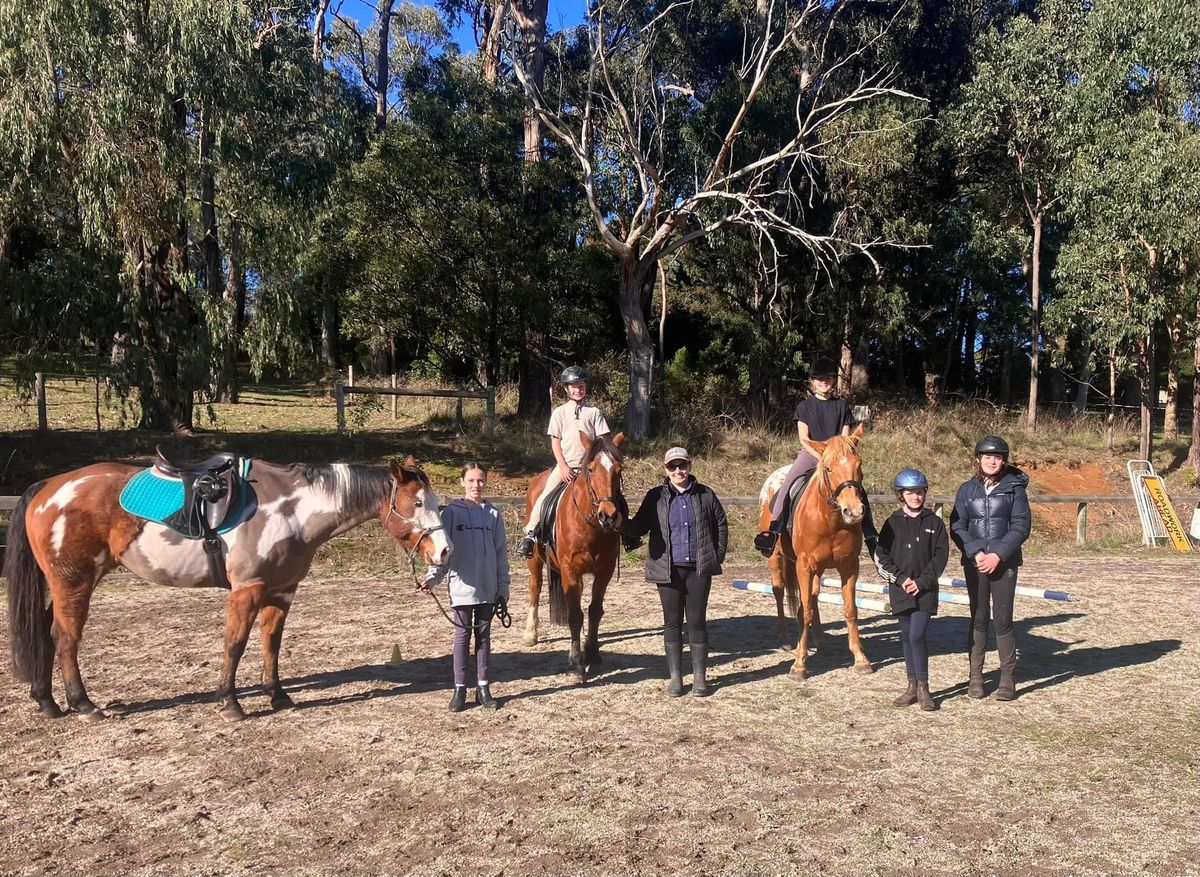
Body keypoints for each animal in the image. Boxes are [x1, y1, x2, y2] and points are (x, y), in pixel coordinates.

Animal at [3, 453, 451, 719]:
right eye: (416, 504)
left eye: (435, 502)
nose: (445, 552)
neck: (291, 510)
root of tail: (47, 488)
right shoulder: (246, 591)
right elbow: (234, 644)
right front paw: (231, 702)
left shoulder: (281, 592)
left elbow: (271, 644)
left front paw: (277, 695)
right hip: (74, 583)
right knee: (65, 637)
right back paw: (82, 703)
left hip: (68, 584)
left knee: (45, 631)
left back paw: (47, 701)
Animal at [520, 431, 624, 681]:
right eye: (592, 469)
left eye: (619, 469)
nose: (608, 516)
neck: (591, 526)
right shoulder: (570, 570)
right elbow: (575, 617)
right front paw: (576, 664)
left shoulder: (604, 571)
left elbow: (594, 611)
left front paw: (593, 654)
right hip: (534, 560)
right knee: (535, 587)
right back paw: (530, 634)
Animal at [758, 424, 873, 681]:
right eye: (828, 468)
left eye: (859, 464)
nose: (853, 512)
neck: (830, 520)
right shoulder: (805, 565)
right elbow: (806, 612)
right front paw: (799, 665)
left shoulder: (849, 566)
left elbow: (850, 609)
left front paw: (861, 659)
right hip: (776, 557)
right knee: (779, 591)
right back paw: (786, 641)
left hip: (818, 569)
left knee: (813, 594)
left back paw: (820, 642)